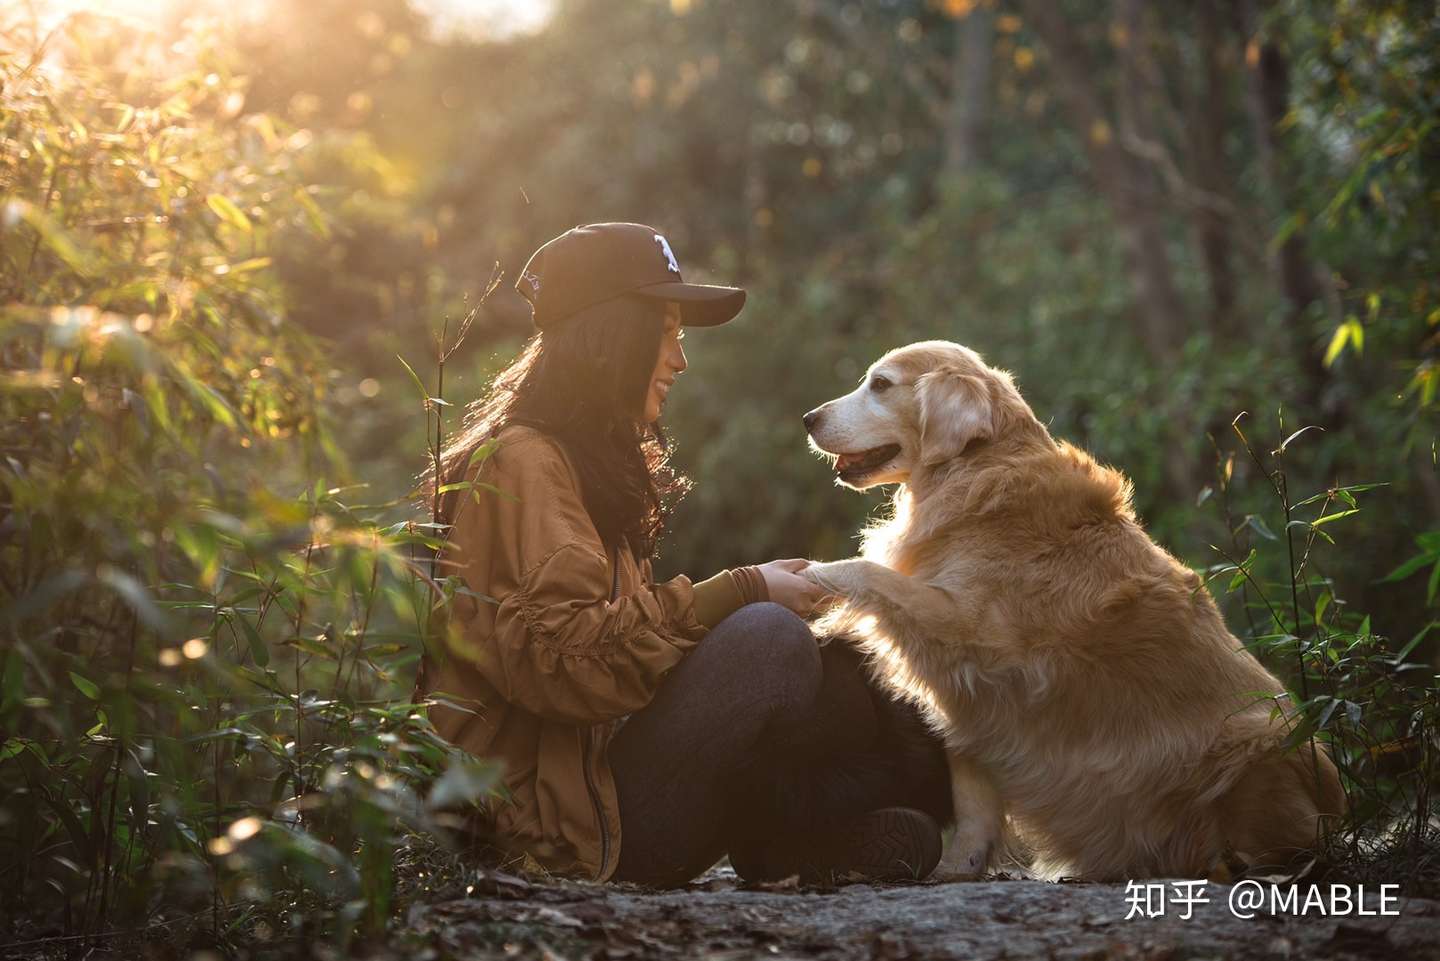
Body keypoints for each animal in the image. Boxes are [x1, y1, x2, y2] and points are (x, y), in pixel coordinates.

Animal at [806, 341, 1342, 881]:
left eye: (880, 384)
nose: (808, 418)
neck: (975, 469)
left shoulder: (976, 636)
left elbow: (866, 572)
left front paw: (815, 582)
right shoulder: (968, 686)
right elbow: (972, 797)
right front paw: (959, 867)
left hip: (1254, 748)